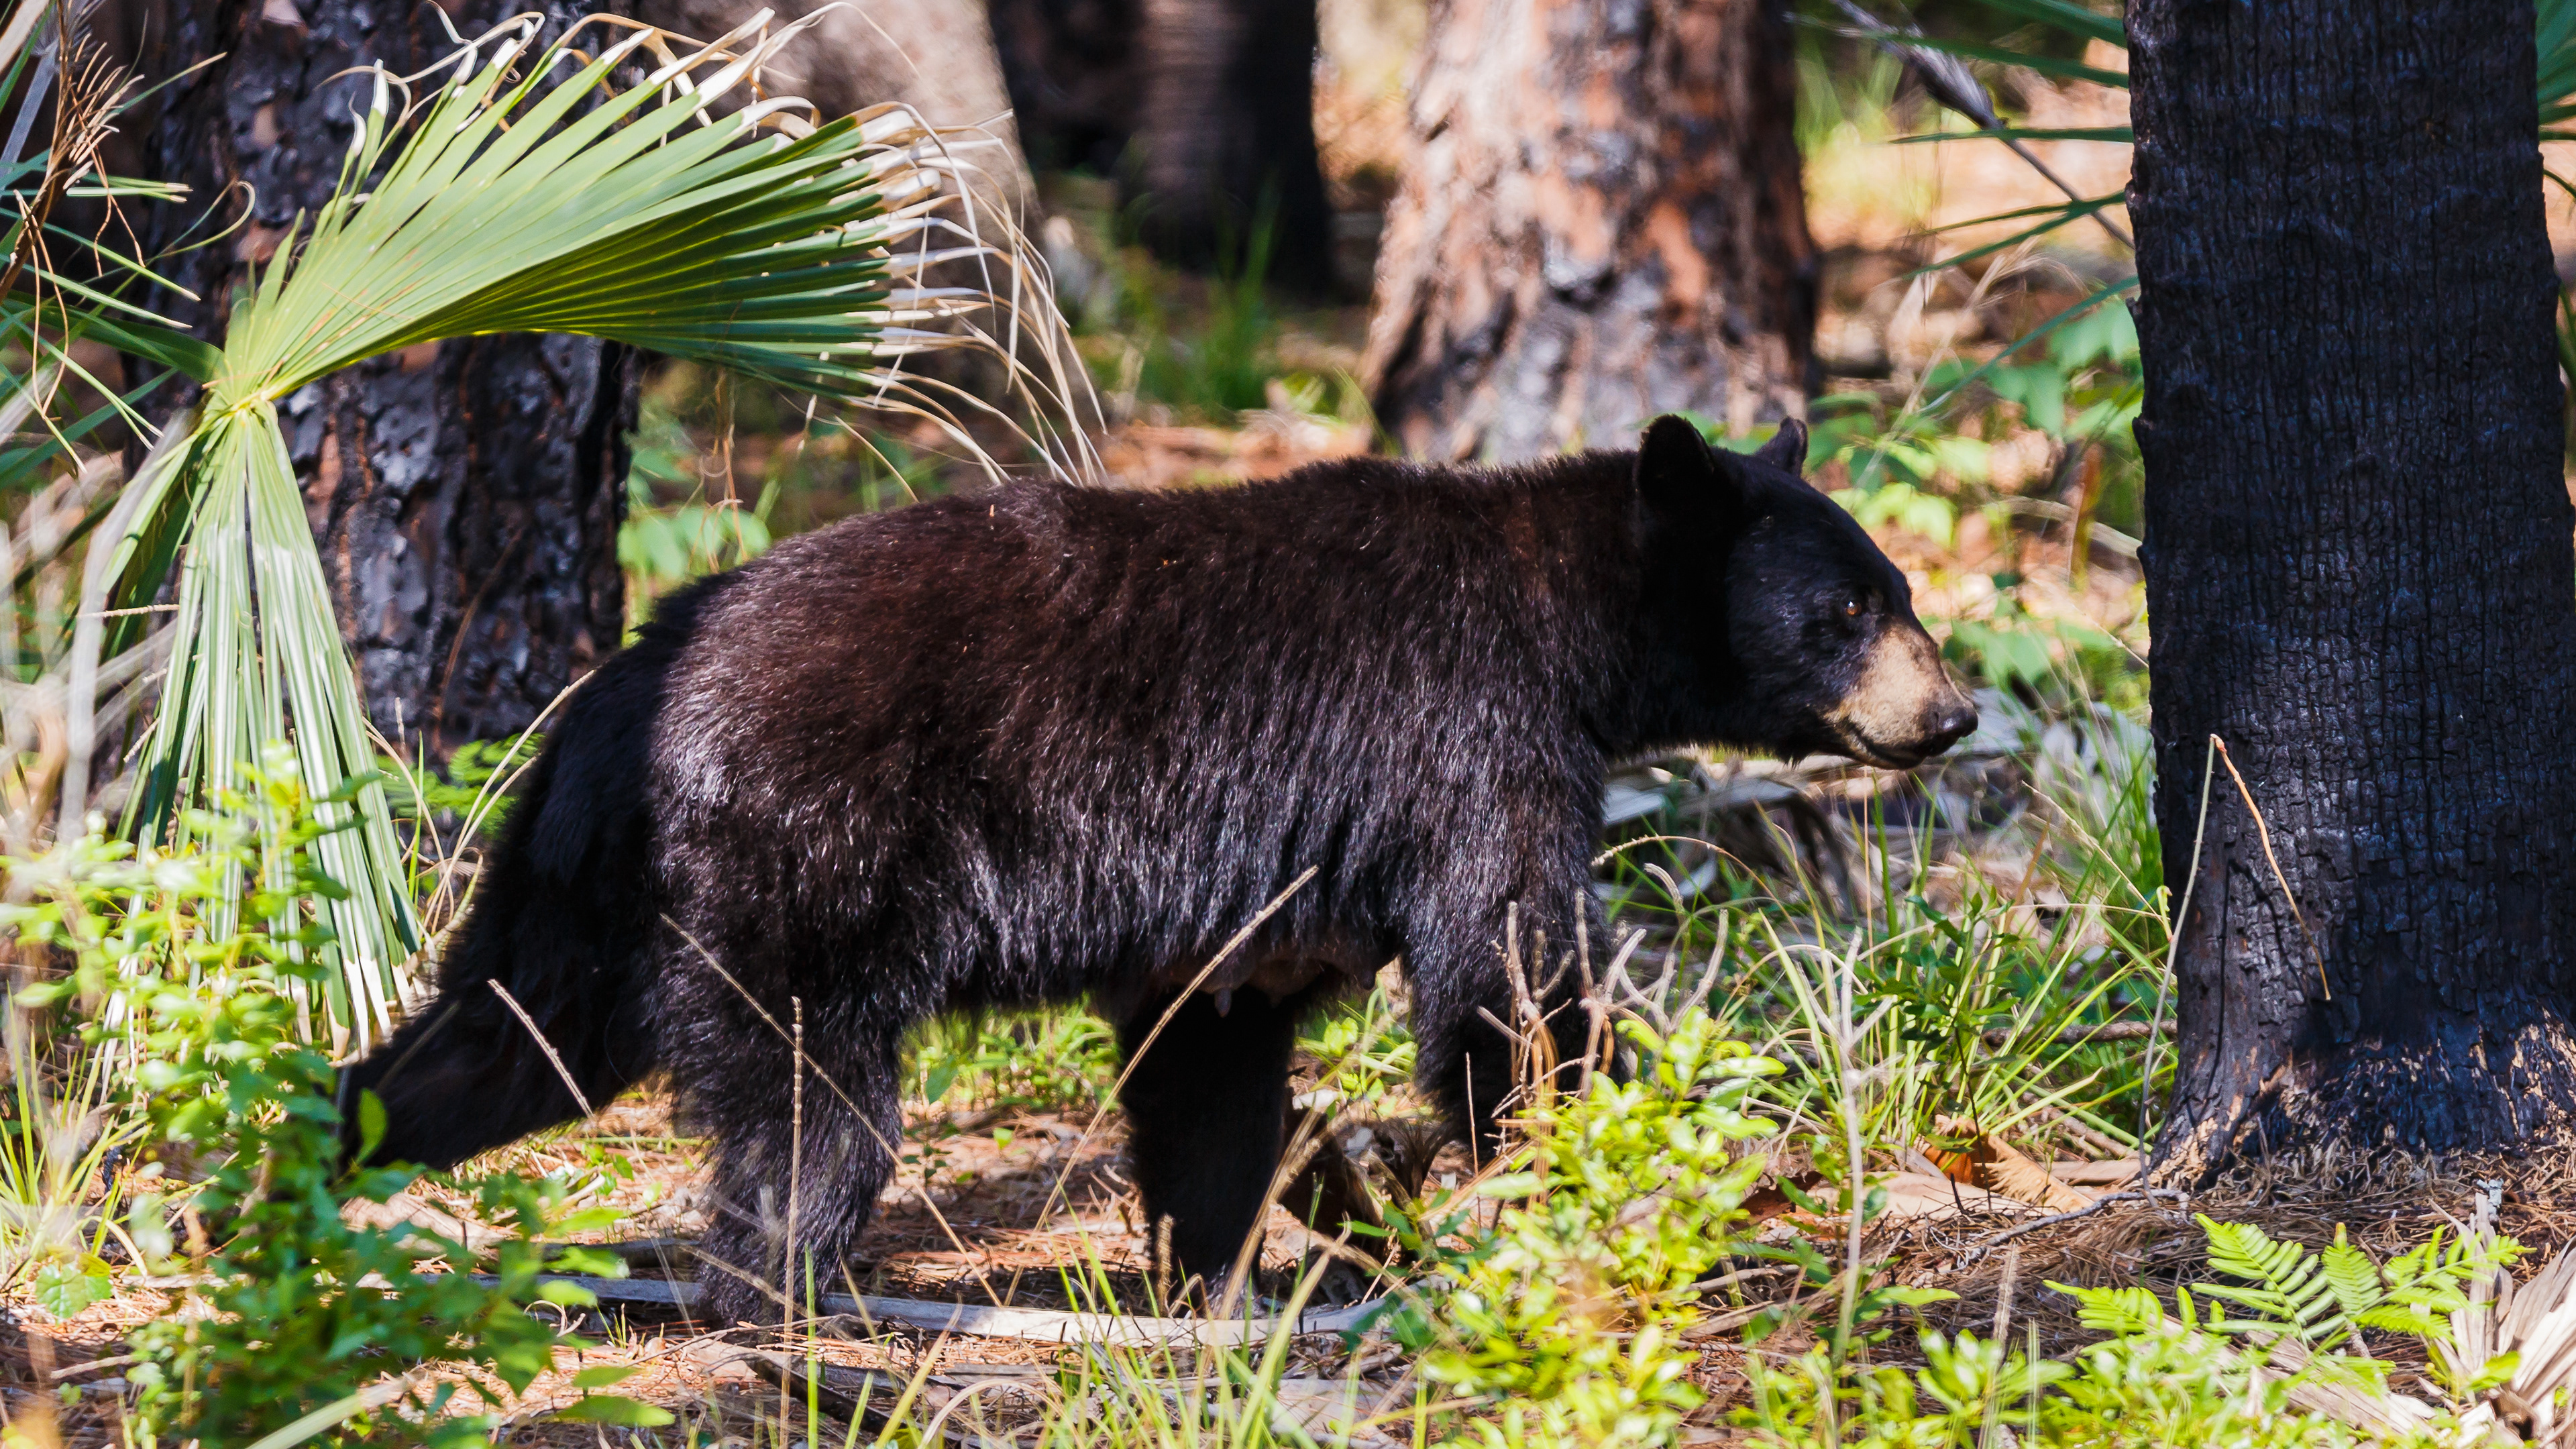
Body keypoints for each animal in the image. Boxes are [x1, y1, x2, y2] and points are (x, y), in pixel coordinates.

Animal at [342, 415, 1976, 1327]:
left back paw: (314, 1160)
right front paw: (1583, 1162)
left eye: (1898, 591)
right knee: (810, 1112)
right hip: (796, 864)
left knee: (501, 1040)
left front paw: (1229, 1274)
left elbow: (1211, 1063)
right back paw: (792, 1301)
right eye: (1847, 609)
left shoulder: (1248, 906)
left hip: (578, 888)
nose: (1952, 716)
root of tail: (631, 693)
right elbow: (1502, 967)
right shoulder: (1463, 743)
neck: (1564, 621)